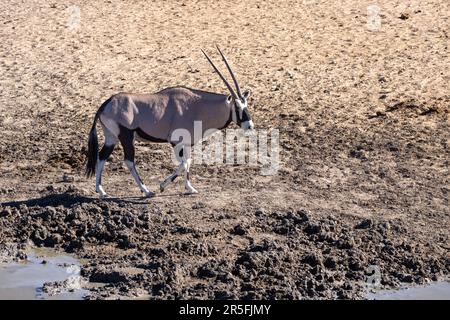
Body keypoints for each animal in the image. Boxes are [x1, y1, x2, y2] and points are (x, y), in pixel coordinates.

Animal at [84, 47, 253, 198]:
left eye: (246, 105)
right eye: (237, 107)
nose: (249, 125)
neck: (197, 106)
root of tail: (106, 103)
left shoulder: (187, 143)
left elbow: (188, 162)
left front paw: (190, 188)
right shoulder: (176, 141)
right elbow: (184, 164)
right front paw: (162, 186)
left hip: (111, 137)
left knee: (102, 157)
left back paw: (101, 191)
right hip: (126, 136)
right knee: (129, 161)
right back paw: (146, 191)